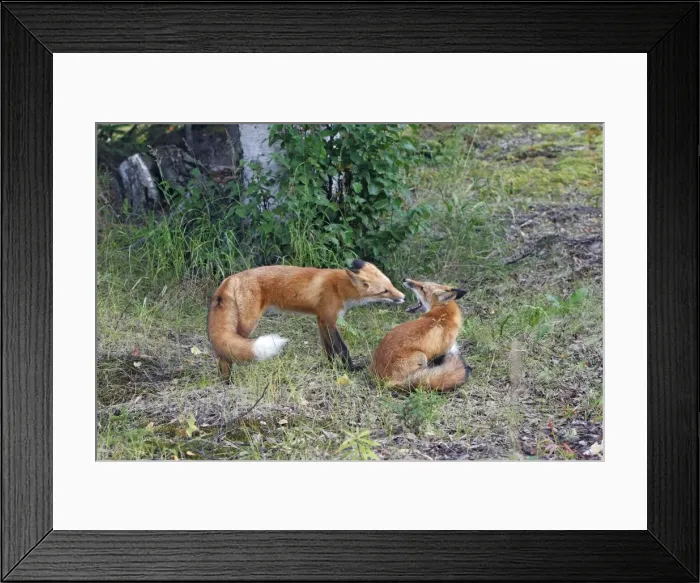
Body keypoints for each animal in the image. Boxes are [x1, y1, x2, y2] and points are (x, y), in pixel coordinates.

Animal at [207, 259, 405, 377]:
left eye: (390, 285)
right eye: (384, 291)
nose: (403, 297)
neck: (339, 288)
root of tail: (229, 279)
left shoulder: (321, 319)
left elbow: (328, 350)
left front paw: (331, 368)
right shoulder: (330, 320)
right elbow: (342, 349)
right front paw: (351, 369)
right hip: (247, 324)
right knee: (226, 353)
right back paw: (228, 380)